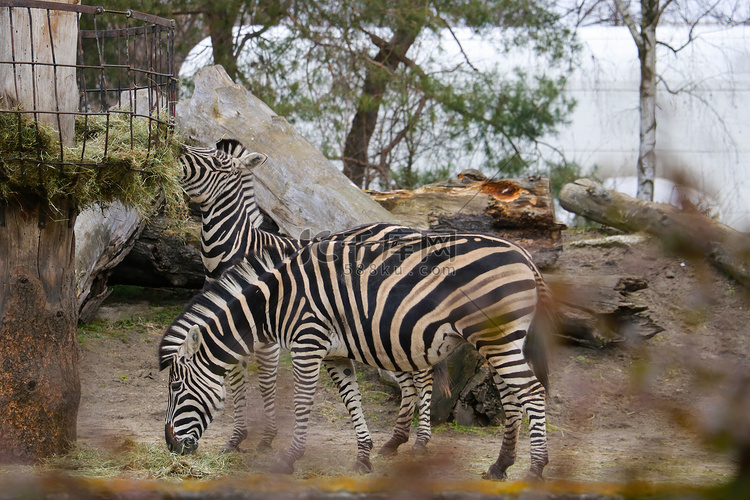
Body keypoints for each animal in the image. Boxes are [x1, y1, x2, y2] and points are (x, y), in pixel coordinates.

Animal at [160, 232, 560, 478]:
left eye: (176, 389)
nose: (171, 446)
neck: (274, 304)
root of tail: (525, 255)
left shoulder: (307, 343)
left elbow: (303, 403)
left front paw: (289, 459)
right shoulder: (335, 355)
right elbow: (352, 400)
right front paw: (363, 456)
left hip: (497, 338)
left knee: (532, 392)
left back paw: (536, 468)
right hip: (497, 342)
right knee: (511, 397)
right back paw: (500, 466)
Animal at [178, 141, 444, 458]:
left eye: (218, 162)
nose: (178, 150)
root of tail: (410, 228)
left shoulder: (264, 332)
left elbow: (266, 382)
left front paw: (267, 439)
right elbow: (236, 382)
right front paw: (235, 440)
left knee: (423, 375)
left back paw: (421, 441)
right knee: (406, 375)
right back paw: (395, 441)